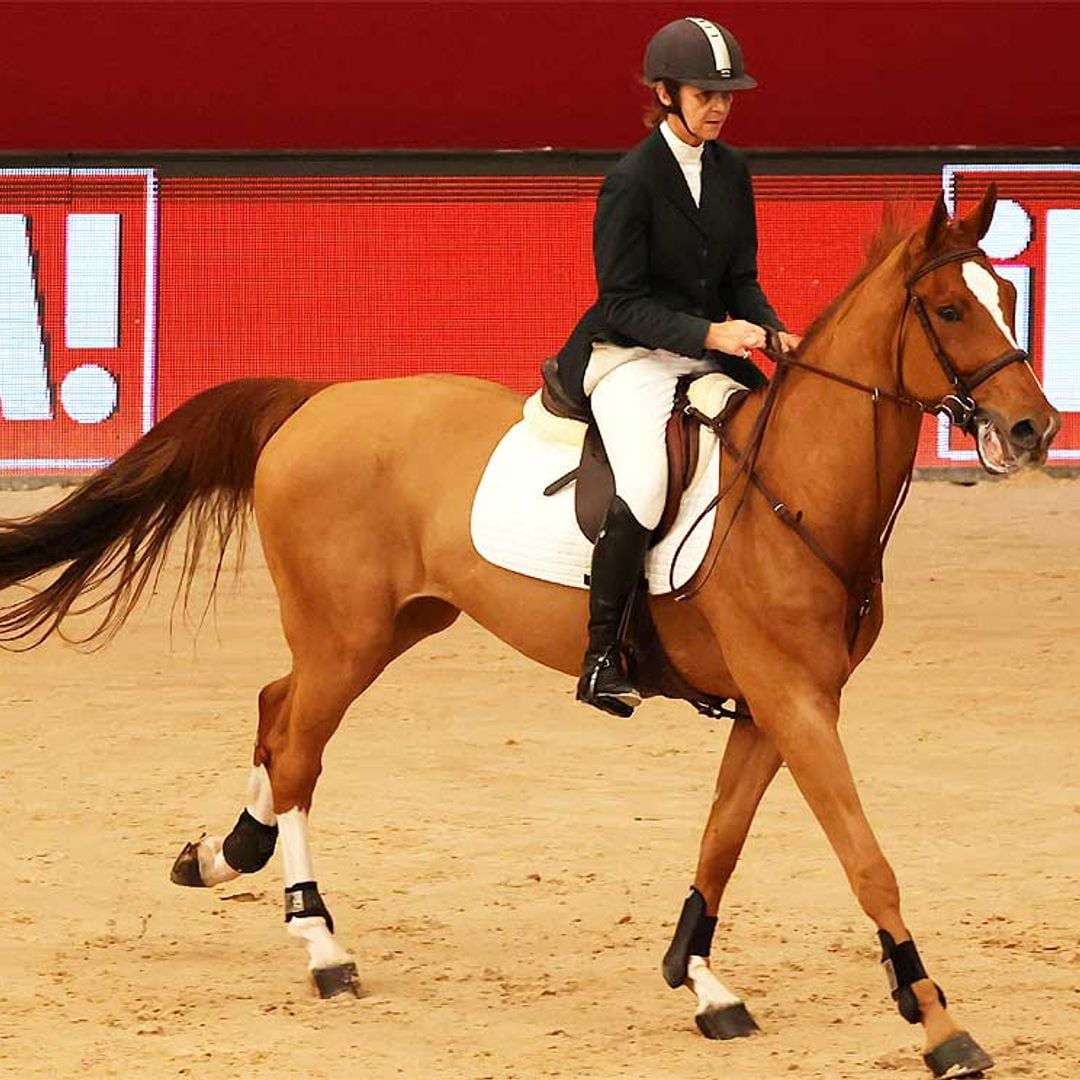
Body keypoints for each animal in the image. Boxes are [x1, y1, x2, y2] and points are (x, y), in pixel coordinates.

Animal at [0, 187, 1059, 1078]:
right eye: (951, 310)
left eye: (1009, 291)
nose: (1035, 430)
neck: (794, 490)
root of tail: (318, 397)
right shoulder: (794, 703)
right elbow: (868, 861)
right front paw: (939, 1023)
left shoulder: (775, 707)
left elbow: (722, 838)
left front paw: (703, 983)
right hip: (346, 635)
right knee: (299, 747)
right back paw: (322, 944)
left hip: (387, 625)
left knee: (275, 709)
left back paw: (226, 855)